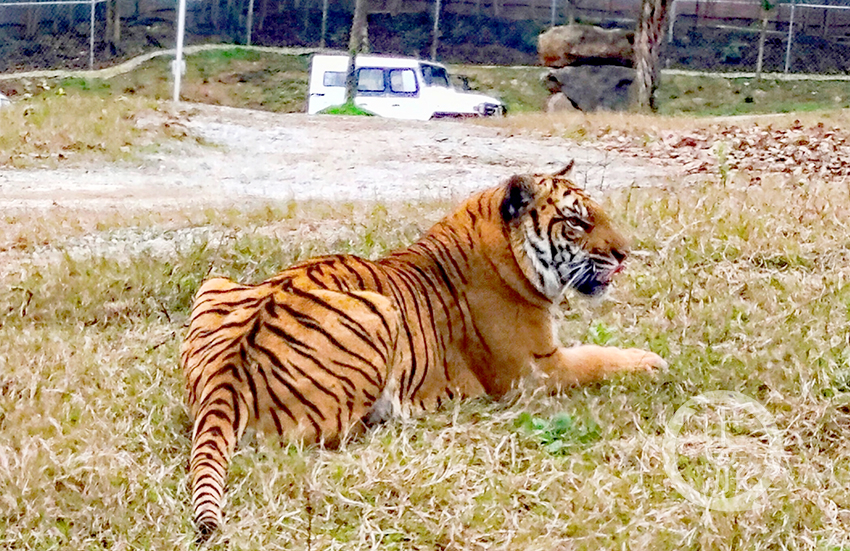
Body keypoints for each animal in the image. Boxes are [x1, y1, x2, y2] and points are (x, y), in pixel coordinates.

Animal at [182, 161, 664, 540]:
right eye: (577, 222)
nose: (626, 253)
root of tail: (224, 379)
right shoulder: (534, 371)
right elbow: (601, 357)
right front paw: (654, 361)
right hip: (379, 312)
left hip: (215, 281)